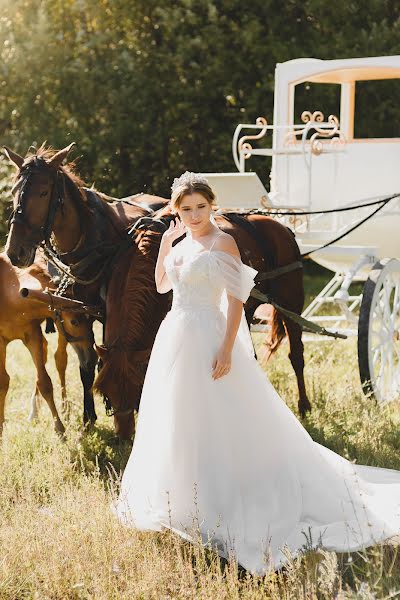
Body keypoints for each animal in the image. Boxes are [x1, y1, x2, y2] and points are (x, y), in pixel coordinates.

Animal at [0, 251, 96, 434]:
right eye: (74, 321)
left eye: (92, 320)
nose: (92, 358)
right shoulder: (1, 341)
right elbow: (3, 381)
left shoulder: (32, 334)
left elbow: (45, 381)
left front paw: (60, 428)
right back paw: (34, 413)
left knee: (60, 359)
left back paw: (64, 408)